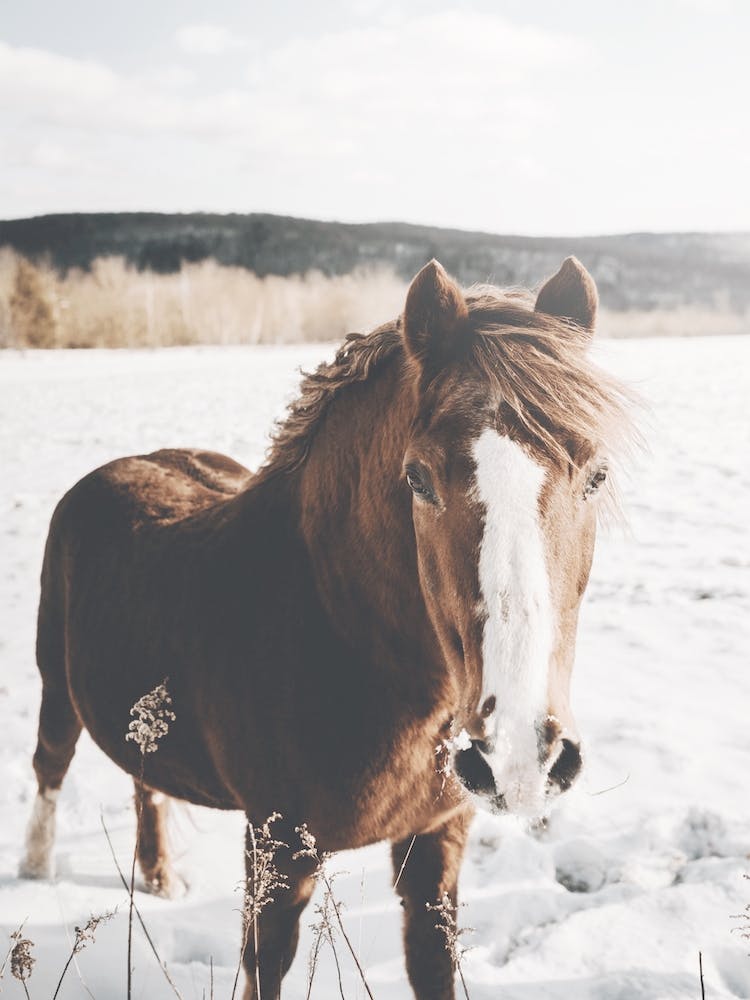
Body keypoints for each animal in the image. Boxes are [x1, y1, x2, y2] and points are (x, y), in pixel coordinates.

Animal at [19, 256, 631, 999]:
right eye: (418, 479)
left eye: (596, 475)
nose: (520, 753)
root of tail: (127, 464)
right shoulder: (278, 851)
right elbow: (266, 970)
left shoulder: (439, 837)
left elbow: (431, 961)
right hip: (56, 685)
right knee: (50, 765)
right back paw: (36, 869)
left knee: (146, 782)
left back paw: (160, 874)